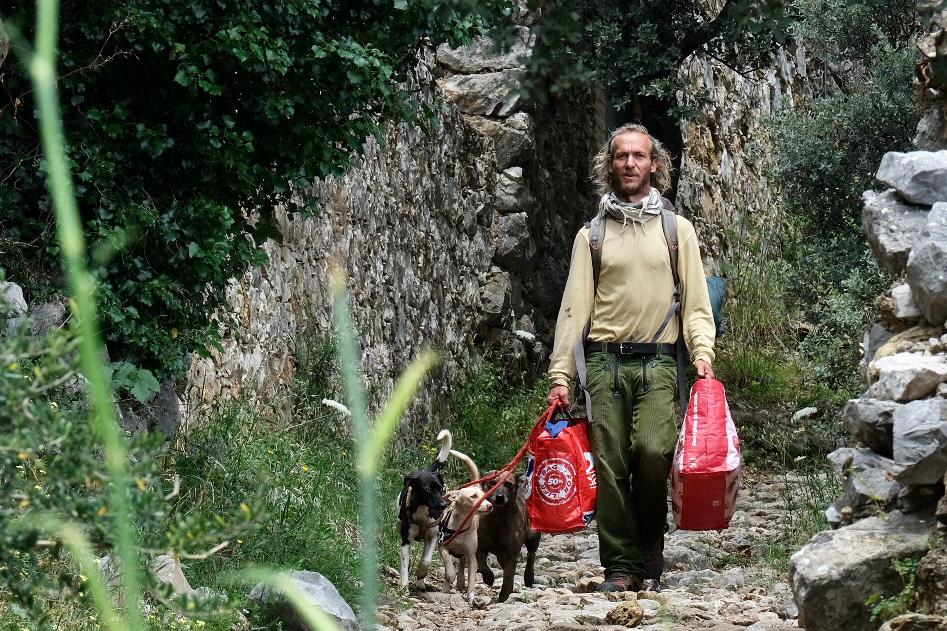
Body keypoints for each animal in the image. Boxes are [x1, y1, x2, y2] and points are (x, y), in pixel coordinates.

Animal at [394, 428, 450, 592]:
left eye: (440, 488)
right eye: (427, 489)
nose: (444, 505)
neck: (423, 513)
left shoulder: (434, 537)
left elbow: (426, 561)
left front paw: (420, 574)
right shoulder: (406, 540)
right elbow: (405, 561)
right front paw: (404, 583)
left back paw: (420, 582)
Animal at [440, 450, 492, 604]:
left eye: (485, 496)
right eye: (473, 496)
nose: (490, 506)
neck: (460, 524)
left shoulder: (471, 555)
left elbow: (472, 578)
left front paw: (471, 595)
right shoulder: (442, 545)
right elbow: (447, 561)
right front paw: (450, 577)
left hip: (465, 551)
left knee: (462, 564)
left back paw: (461, 581)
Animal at [478, 470, 536, 604]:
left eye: (508, 484)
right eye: (492, 482)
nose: (500, 497)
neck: (498, 519)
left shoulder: (511, 554)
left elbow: (508, 576)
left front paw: (504, 596)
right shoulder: (480, 547)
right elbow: (482, 565)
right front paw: (489, 578)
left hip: (533, 537)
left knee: (531, 555)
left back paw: (528, 577)